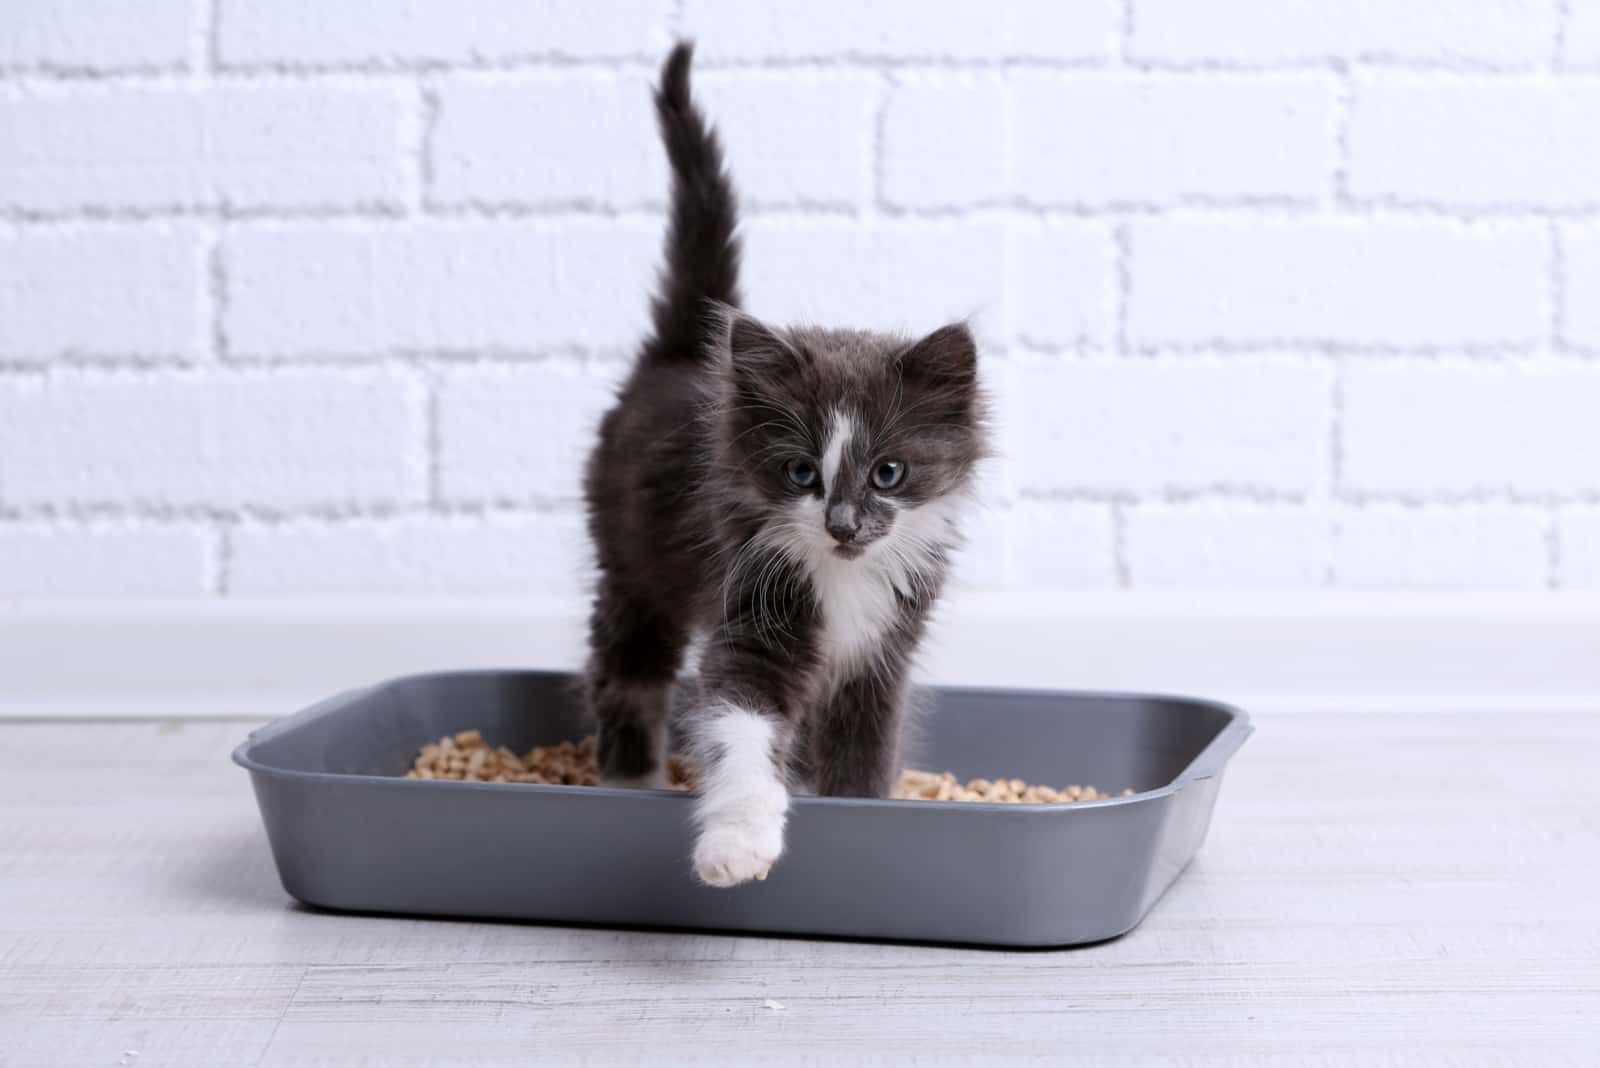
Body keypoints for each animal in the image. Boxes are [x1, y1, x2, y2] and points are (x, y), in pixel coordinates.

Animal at [585, 41, 985, 888]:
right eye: (801, 473)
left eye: (888, 473)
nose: (842, 524)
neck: (843, 579)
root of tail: (678, 355)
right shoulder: (750, 615)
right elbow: (739, 730)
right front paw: (736, 845)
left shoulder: (881, 659)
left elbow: (864, 757)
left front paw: (864, 818)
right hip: (632, 563)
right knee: (624, 673)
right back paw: (629, 779)